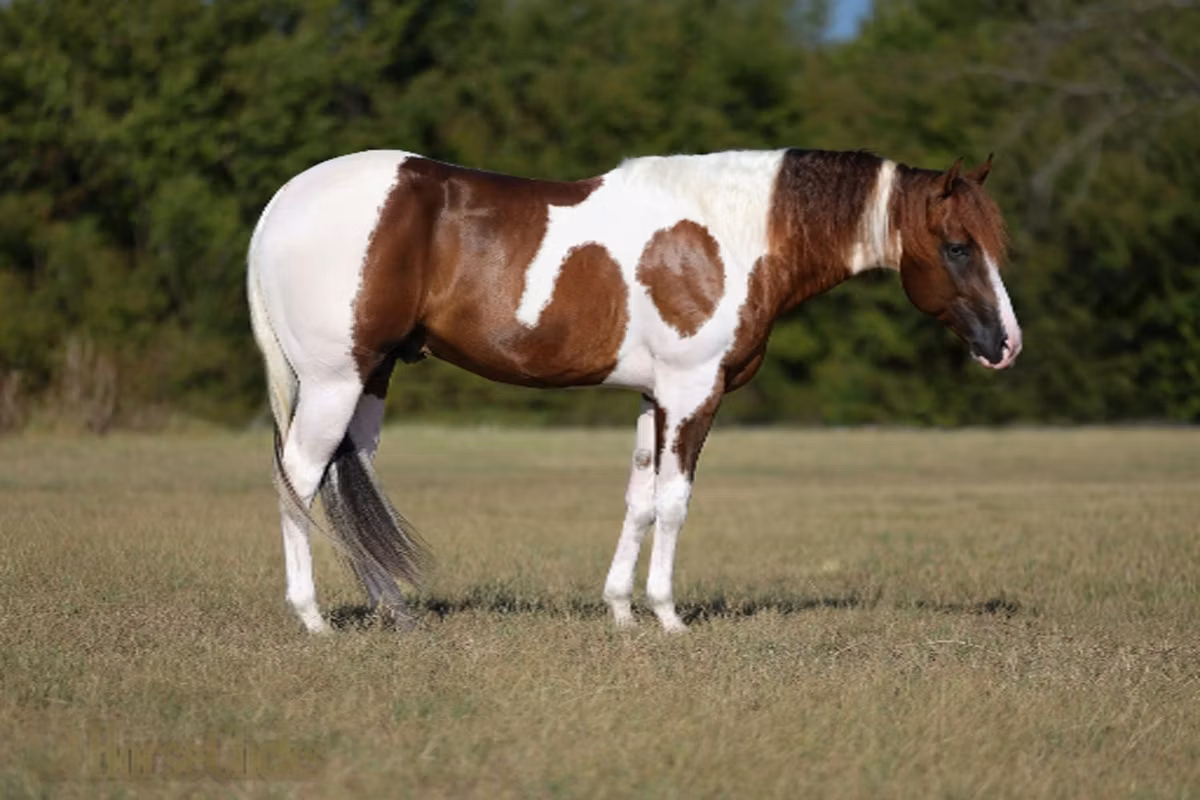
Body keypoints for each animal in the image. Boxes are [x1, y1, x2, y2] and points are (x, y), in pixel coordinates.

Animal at [247, 147, 1021, 634]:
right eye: (957, 246)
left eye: (996, 245)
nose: (1006, 346)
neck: (733, 234)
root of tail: (282, 203)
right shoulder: (693, 392)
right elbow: (675, 503)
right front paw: (668, 615)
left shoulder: (655, 399)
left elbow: (640, 500)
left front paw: (620, 610)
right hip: (334, 381)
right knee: (299, 479)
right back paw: (312, 618)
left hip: (371, 379)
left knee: (349, 482)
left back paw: (396, 611)